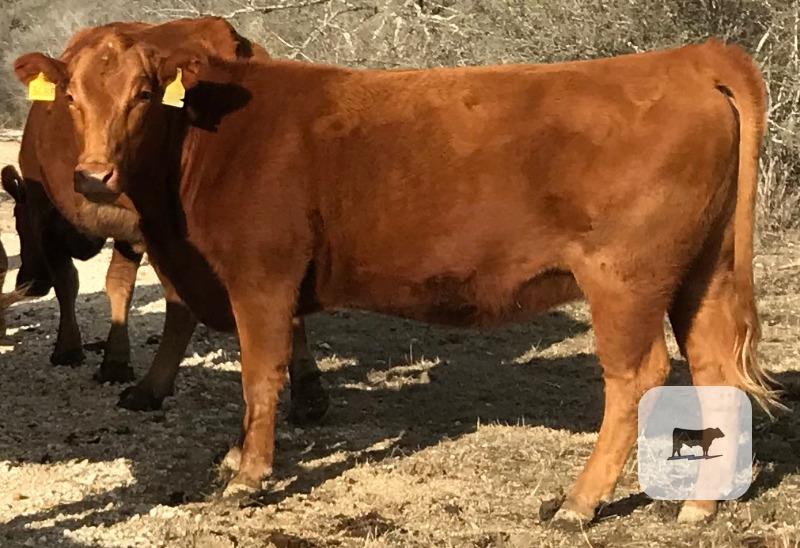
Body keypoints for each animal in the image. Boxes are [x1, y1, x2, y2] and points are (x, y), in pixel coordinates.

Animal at [3, 18, 328, 423]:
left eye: (143, 95)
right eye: (71, 97)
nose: (26, 283)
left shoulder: (44, 209)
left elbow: (68, 280)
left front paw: (69, 349)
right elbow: (117, 284)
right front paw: (114, 360)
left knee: (179, 306)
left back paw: (151, 388)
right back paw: (309, 393)